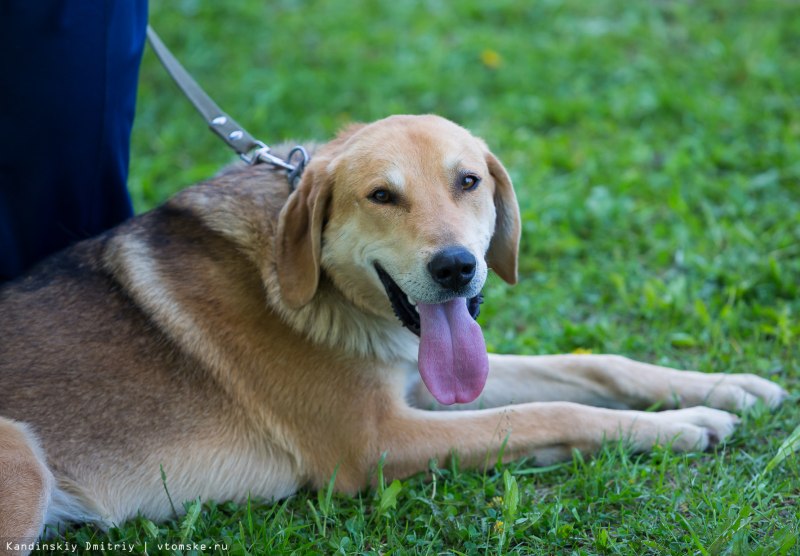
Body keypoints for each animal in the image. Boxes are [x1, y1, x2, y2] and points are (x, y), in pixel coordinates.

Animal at [0, 115, 788, 548]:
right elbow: (553, 410)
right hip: (24, 463)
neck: (319, 289)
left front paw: (726, 388)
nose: (456, 267)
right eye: (381, 196)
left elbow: (593, 367)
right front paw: (684, 425)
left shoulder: (424, 379)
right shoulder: (379, 441)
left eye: (470, 181)